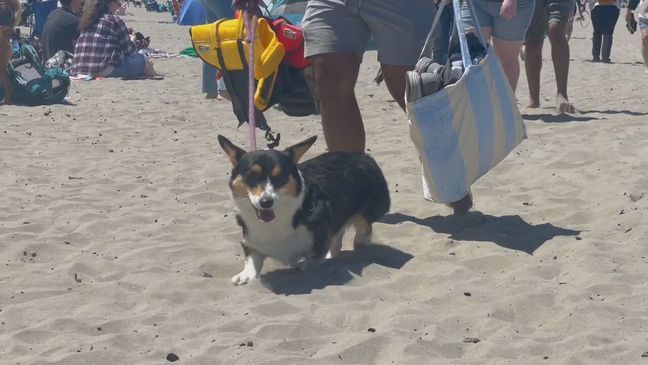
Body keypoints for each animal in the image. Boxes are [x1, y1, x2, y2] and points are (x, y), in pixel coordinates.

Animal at [218, 134, 390, 284]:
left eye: (280, 177)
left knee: (363, 228)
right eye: (251, 176)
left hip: (366, 212)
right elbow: (253, 261)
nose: (266, 202)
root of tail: (362, 155)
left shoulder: (319, 238)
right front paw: (245, 276)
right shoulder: (251, 242)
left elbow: (311, 263)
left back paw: (358, 246)